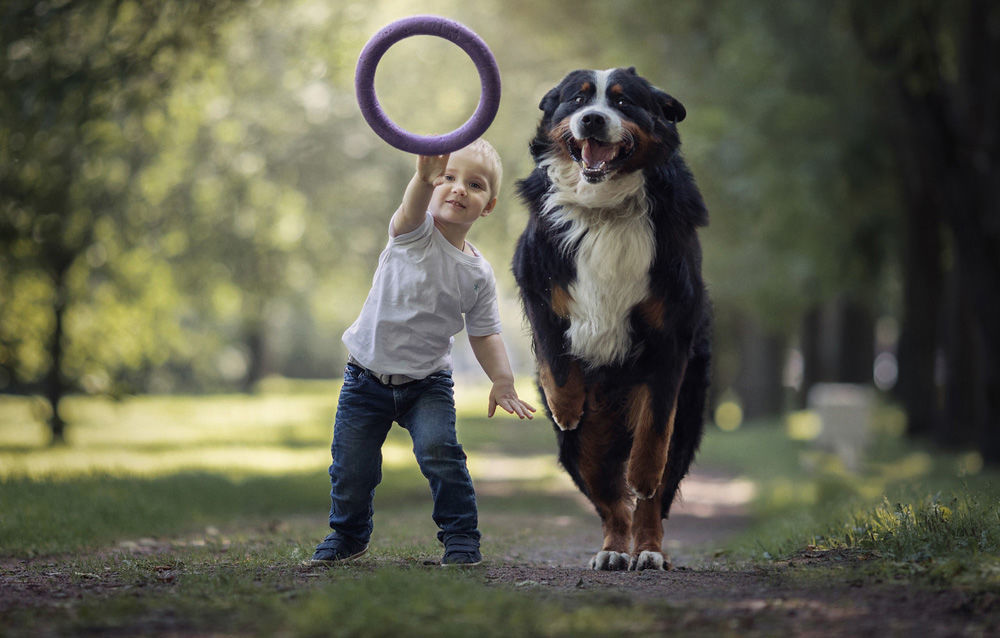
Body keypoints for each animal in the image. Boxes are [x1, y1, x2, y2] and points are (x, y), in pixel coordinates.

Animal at [516, 69, 712, 576]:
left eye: (623, 103)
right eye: (577, 99)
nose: (592, 119)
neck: (604, 209)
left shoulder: (672, 333)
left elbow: (653, 436)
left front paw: (642, 473)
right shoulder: (534, 279)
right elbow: (554, 355)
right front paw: (565, 404)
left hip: (688, 415)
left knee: (649, 500)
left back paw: (647, 550)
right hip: (579, 448)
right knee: (609, 502)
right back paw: (613, 551)